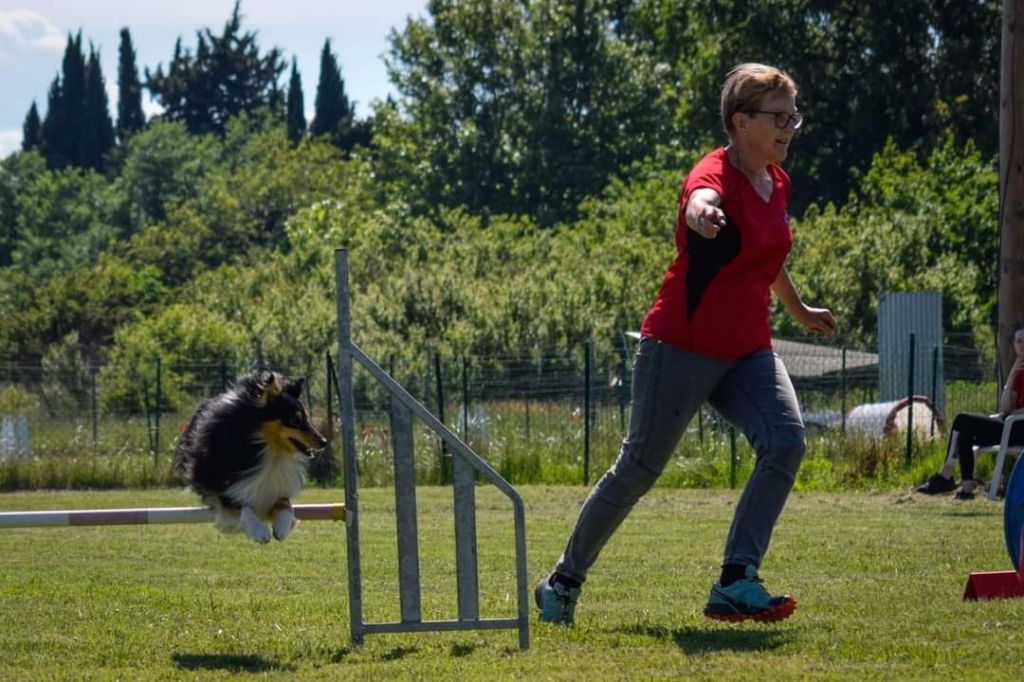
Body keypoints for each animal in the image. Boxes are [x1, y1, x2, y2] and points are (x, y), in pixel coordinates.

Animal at [172, 368, 323, 544]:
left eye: (305, 418)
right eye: (295, 420)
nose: (324, 442)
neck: (268, 450)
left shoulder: (275, 488)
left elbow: (285, 504)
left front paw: (282, 527)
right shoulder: (224, 486)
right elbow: (241, 505)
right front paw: (259, 531)